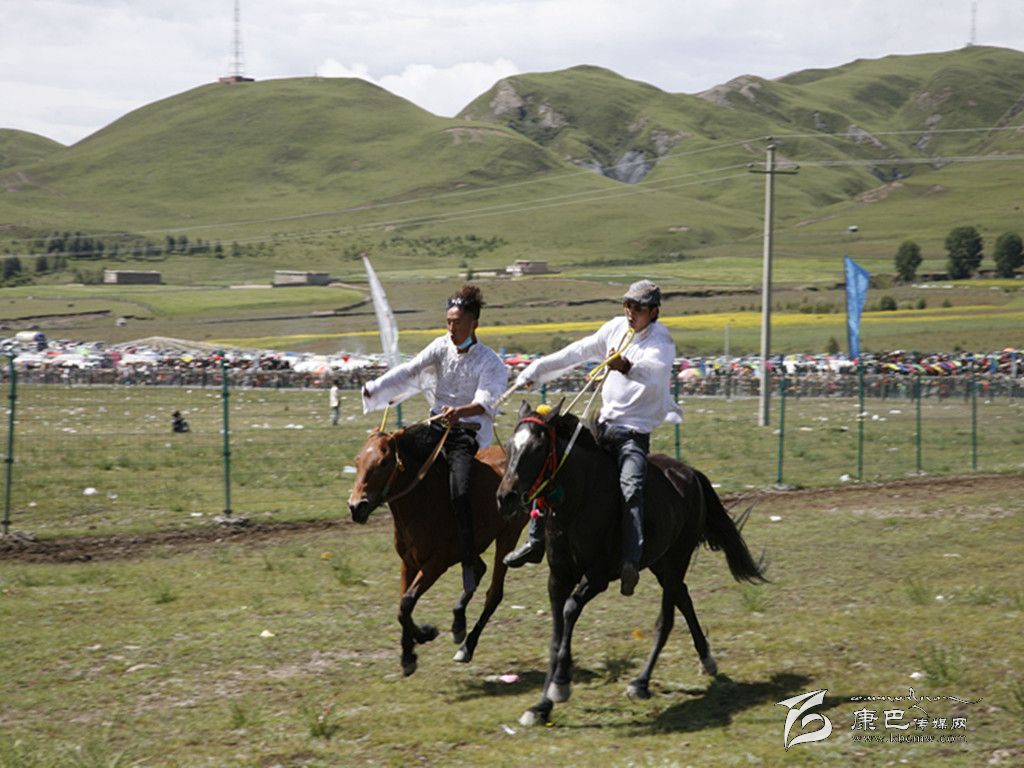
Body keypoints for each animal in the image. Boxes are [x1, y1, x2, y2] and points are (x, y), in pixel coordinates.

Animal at [352, 423, 528, 675]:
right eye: (357, 461)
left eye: (384, 462)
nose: (356, 507)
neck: (423, 499)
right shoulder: (408, 563)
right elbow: (402, 607)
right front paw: (408, 655)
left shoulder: (435, 564)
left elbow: (406, 602)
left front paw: (426, 634)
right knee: (478, 570)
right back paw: (458, 623)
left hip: (508, 535)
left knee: (494, 593)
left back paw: (467, 646)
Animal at [495, 403, 770, 729]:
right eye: (510, 445)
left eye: (537, 448)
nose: (506, 497)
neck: (580, 500)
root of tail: (689, 473)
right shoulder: (558, 577)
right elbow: (556, 635)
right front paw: (541, 706)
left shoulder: (599, 576)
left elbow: (570, 610)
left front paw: (561, 685)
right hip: (661, 563)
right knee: (684, 598)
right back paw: (706, 660)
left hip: (677, 559)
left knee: (667, 619)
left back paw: (641, 682)